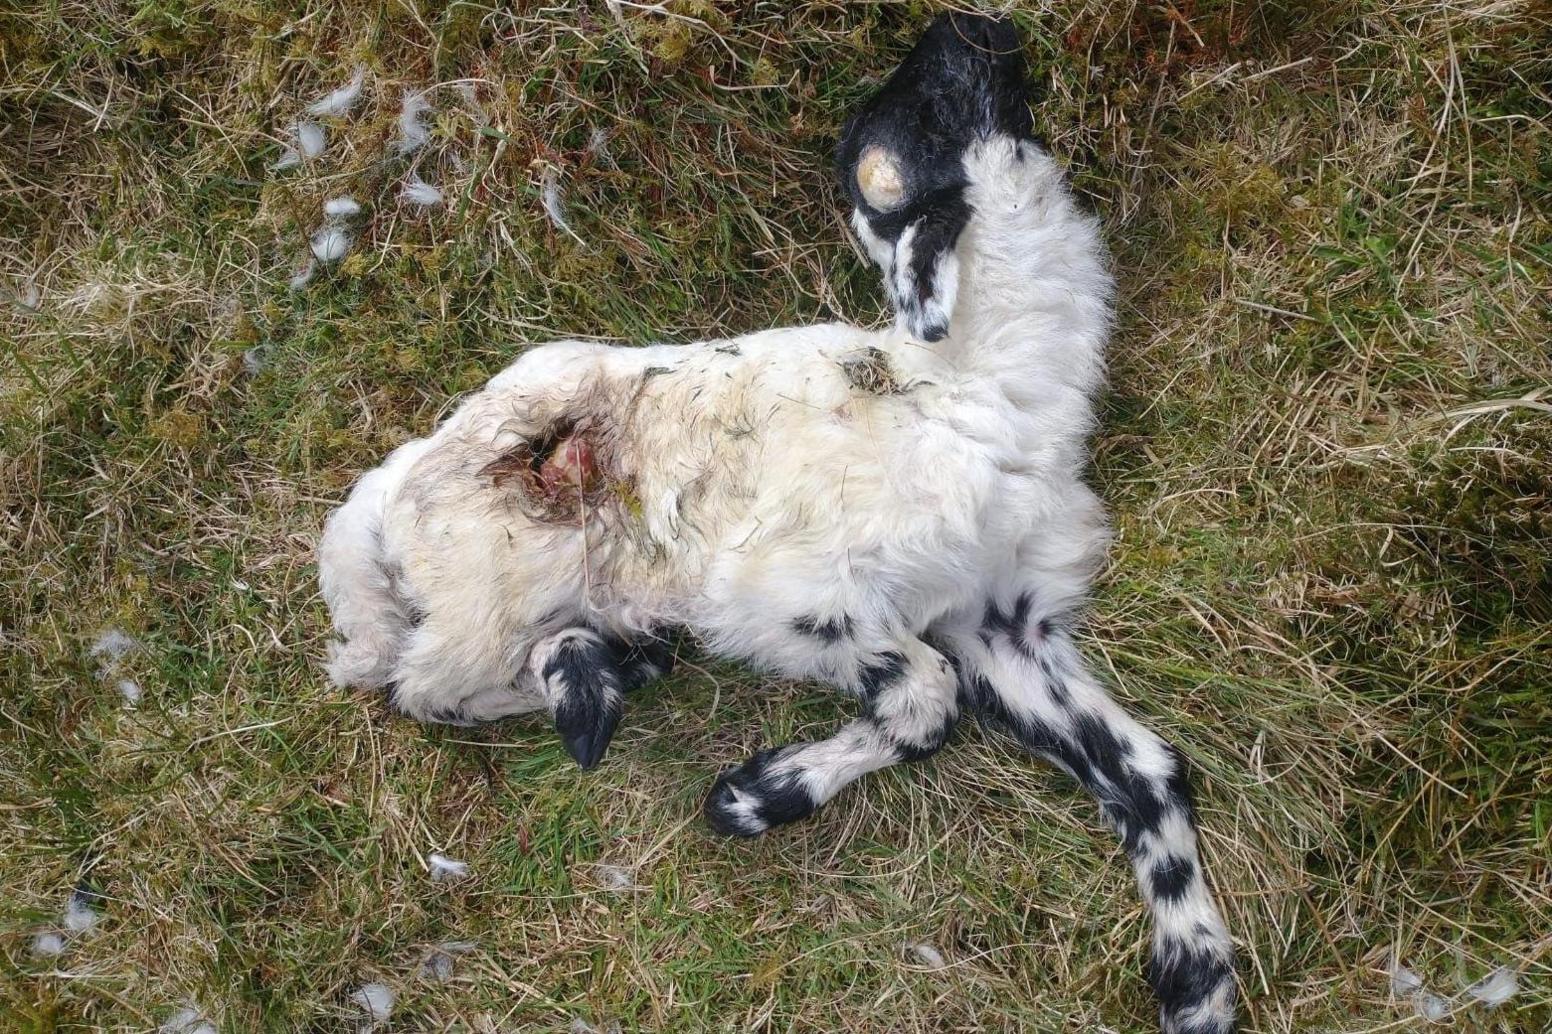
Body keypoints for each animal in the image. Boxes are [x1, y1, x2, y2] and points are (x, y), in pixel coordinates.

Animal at [315, 16, 1235, 1030]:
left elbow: (1147, 769)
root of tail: (387, 489)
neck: (978, 384)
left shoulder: (1002, 620)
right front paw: (757, 796)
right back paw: (592, 684)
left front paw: (1198, 980)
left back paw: (615, 665)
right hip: (492, 578)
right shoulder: (790, 596)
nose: (970, 26)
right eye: (930, 110)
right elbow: (927, 700)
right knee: (416, 684)